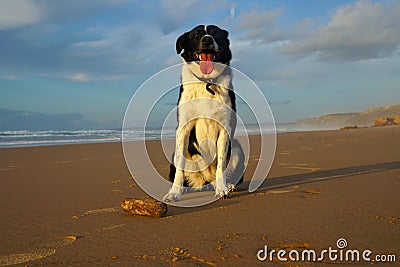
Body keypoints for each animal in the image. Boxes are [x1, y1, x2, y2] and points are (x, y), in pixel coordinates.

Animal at [162, 25, 244, 203]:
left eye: (216, 34)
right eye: (196, 35)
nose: (207, 40)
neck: (207, 82)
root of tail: (205, 180)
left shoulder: (225, 129)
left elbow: (221, 164)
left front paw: (222, 190)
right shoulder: (184, 129)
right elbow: (179, 168)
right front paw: (174, 193)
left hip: (237, 147)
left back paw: (227, 185)